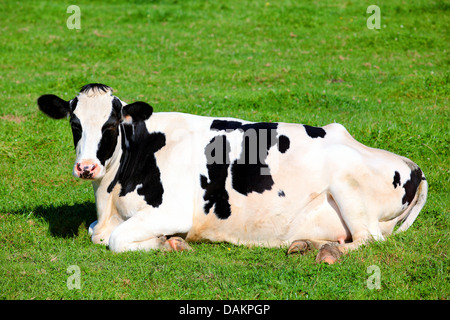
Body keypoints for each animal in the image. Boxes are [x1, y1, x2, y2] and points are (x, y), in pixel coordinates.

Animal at [37, 84, 428, 264]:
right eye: (74, 123)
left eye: (111, 123)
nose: (86, 167)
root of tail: (412, 165)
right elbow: (95, 233)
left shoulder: (172, 211)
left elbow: (115, 240)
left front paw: (169, 243)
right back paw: (305, 244)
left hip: (348, 187)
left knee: (368, 239)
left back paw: (327, 251)